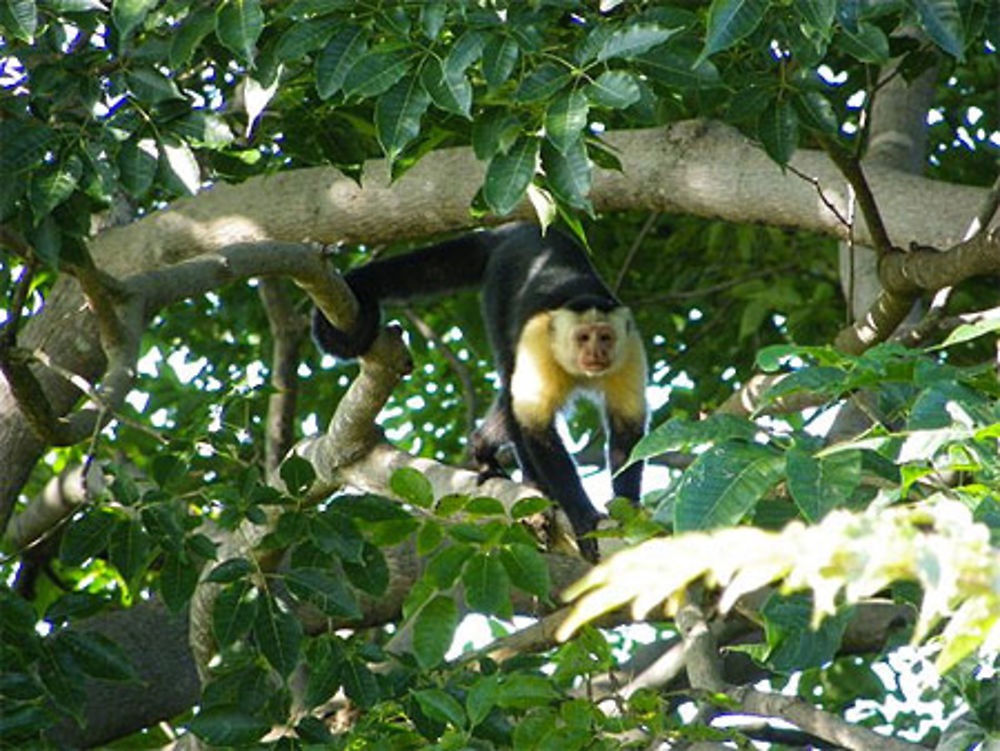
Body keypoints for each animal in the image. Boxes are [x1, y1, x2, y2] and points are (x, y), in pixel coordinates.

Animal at [316, 220, 652, 556]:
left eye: (605, 337)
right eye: (583, 338)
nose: (596, 352)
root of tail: (515, 229)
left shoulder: (631, 348)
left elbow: (628, 431)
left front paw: (627, 509)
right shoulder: (538, 342)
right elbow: (534, 426)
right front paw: (580, 515)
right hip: (499, 287)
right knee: (511, 383)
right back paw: (517, 472)